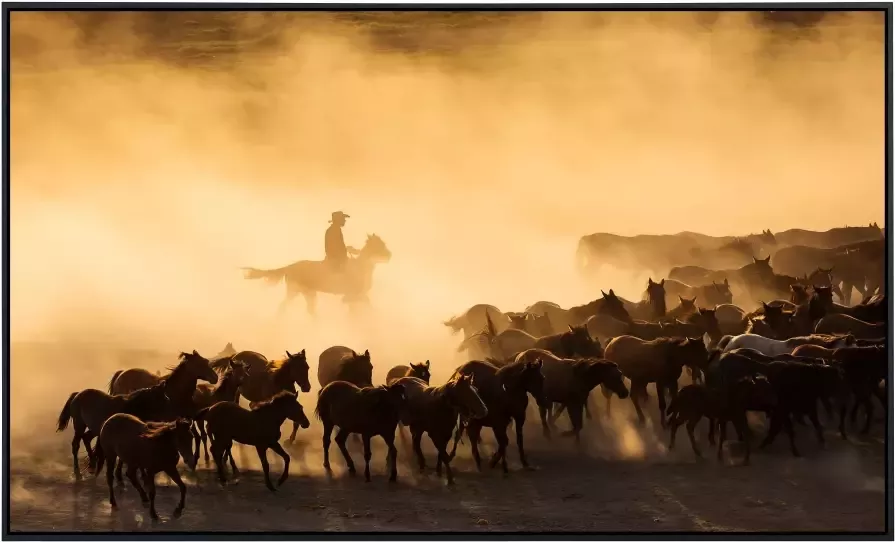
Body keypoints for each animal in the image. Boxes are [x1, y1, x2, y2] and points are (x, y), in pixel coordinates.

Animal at [242, 233, 392, 316]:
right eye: (379, 245)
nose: (389, 255)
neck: (362, 267)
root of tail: (291, 266)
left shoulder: (356, 295)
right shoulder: (352, 295)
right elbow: (363, 305)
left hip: (308, 293)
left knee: (308, 310)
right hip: (296, 291)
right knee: (285, 306)